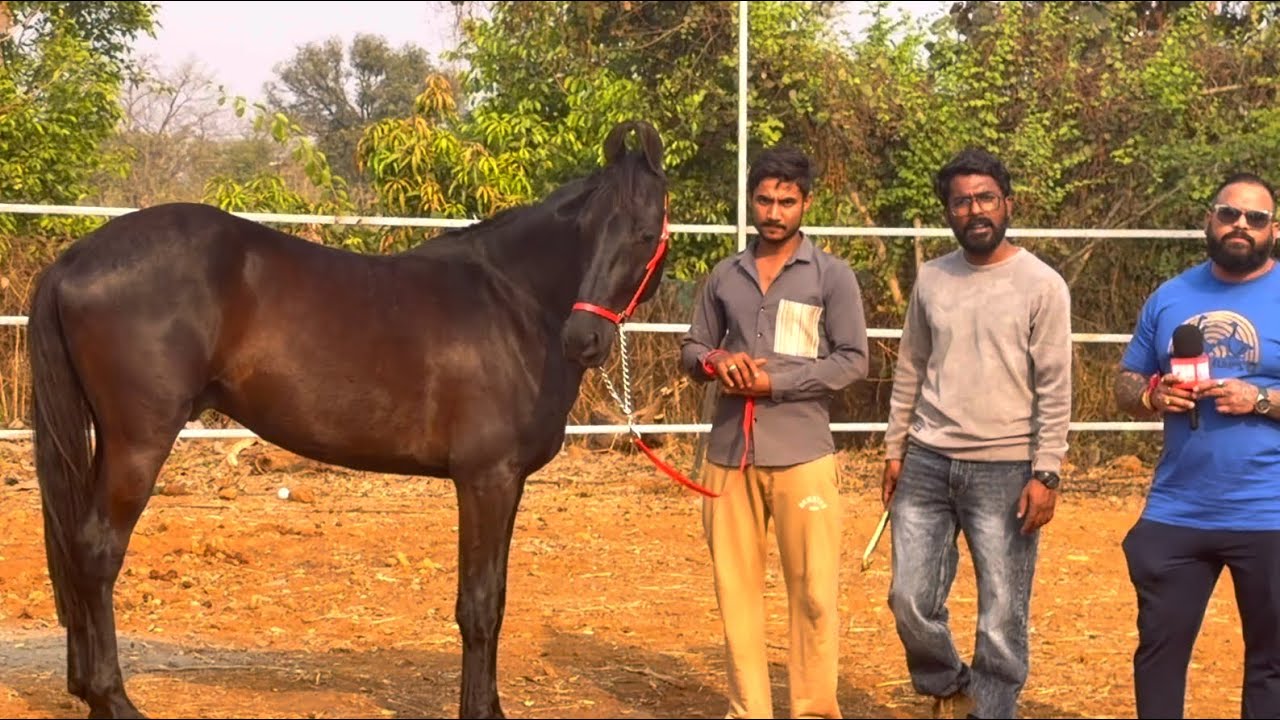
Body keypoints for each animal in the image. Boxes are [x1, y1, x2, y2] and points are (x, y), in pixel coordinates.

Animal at [26, 119, 670, 719]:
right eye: (587, 231)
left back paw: (84, 688)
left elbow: (498, 595)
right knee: (97, 551)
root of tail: (74, 259)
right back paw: (113, 698)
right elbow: (480, 604)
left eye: (644, 234)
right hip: (139, 441)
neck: (514, 303)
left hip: (107, 439)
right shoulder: (486, 479)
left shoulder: (505, 484)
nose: (583, 339)